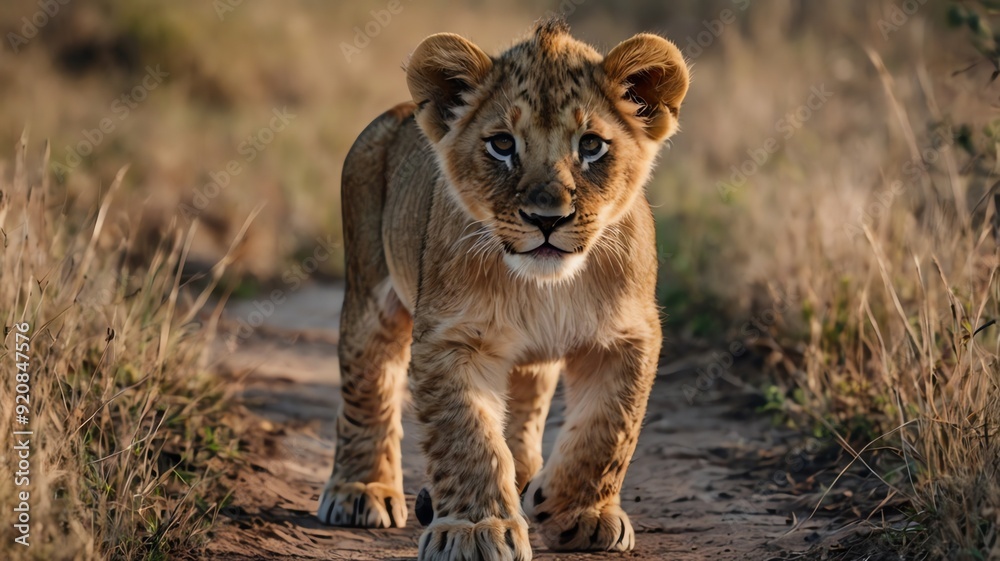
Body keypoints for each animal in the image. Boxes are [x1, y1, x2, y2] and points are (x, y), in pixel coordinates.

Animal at [317, 18, 690, 561]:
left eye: (591, 146)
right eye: (502, 144)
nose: (547, 218)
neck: (546, 287)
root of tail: (402, 110)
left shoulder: (625, 338)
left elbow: (606, 431)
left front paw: (580, 514)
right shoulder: (452, 337)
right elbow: (468, 437)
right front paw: (475, 530)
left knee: (526, 409)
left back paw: (529, 480)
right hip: (369, 292)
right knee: (367, 385)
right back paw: (360, 492)